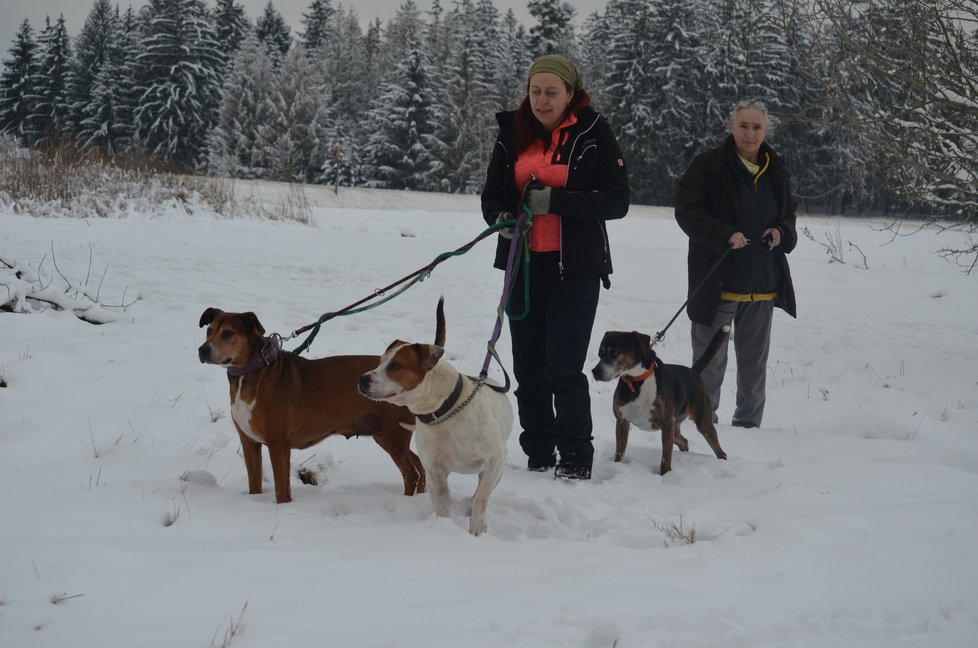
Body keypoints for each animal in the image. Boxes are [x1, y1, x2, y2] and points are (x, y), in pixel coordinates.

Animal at [200, 302, 444, 504]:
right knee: (419, 466)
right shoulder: (249, 441)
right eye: (209, 331)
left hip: (393, 435)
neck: (254, 370)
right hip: (387, 435)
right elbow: (254, 483)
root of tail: (419, 373)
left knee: (411, 473)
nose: (203, 349)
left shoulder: (278, 444)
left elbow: (281, 490)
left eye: (228, 333)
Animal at [356, 334, 510, 536]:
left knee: (480, 491)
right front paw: (444, 530)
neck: (443, 412)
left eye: (396, 366)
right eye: (380, 362)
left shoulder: (495, 459)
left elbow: (481, 498)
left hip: (496, 470)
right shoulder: (434, 472)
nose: (362, 379)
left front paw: (477, 529)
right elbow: (442, 508)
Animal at [584, 326, 728, 474]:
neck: (637, 382)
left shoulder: (666, 423)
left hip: (702, 422)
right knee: (684, 441)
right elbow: (619, 451)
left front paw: (665, 475)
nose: (595, 372)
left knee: (720, 450)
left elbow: (666, 458)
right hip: (675, 427)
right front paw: (617, 465)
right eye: (600, 354)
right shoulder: (622, 421)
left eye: (614, 353)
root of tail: (693, 371)